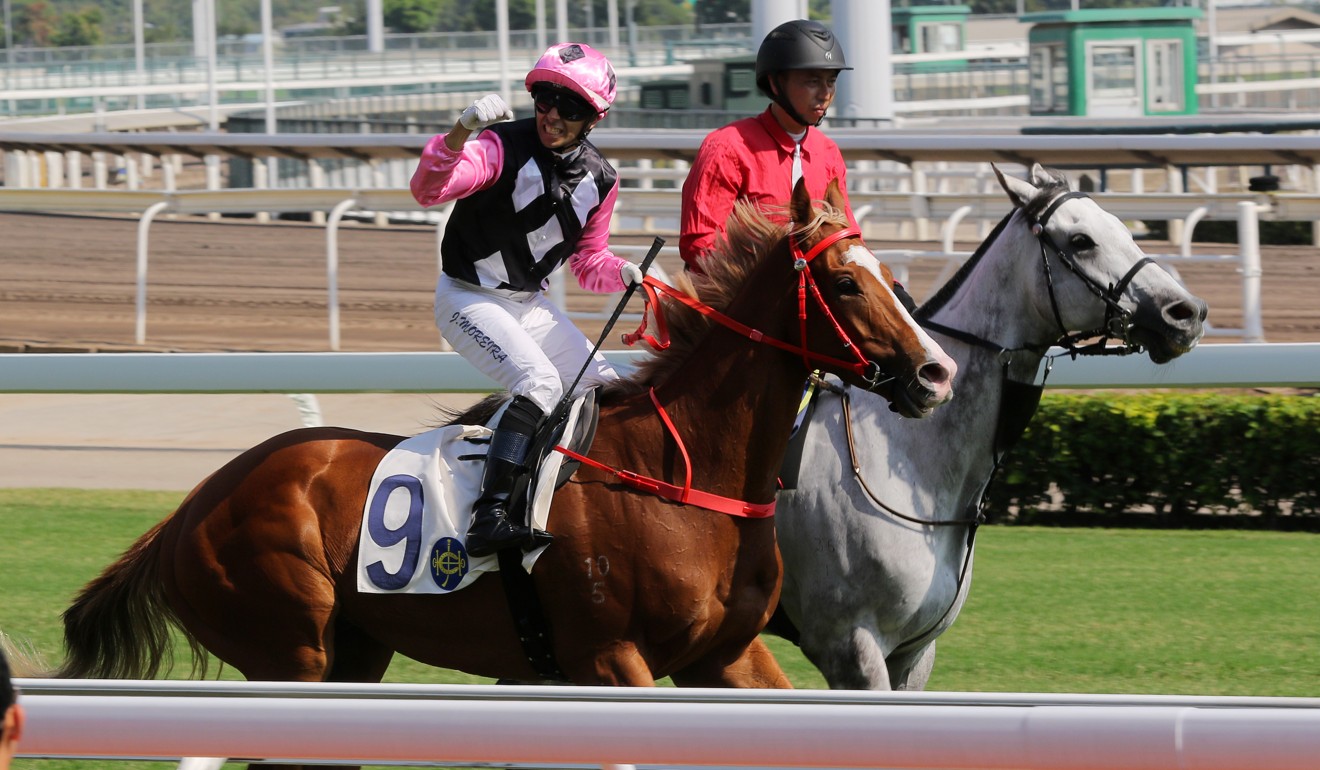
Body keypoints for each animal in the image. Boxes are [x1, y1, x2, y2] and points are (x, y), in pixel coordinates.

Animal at [56, 175, 955, 739]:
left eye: (884, 270)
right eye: (845, 282)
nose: (935, 373)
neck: (683, 469)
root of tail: (185, 511)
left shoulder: (725, 654)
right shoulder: (607, 660)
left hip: (354, 652)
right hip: (288, 654)